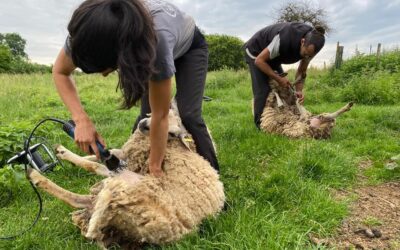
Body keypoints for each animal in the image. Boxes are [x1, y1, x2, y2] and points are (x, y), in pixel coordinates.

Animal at [25, 103, 225, 248]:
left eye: (171, 133)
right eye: (165, 111)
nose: (145, 126)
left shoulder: (129, 163)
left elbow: (95, 164)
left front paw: (69, 155)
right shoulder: (122, 156)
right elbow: (101, 155)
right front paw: (66, 154)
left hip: (132, 183)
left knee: (98, 194)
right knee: (79, 199)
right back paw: (35, 175)